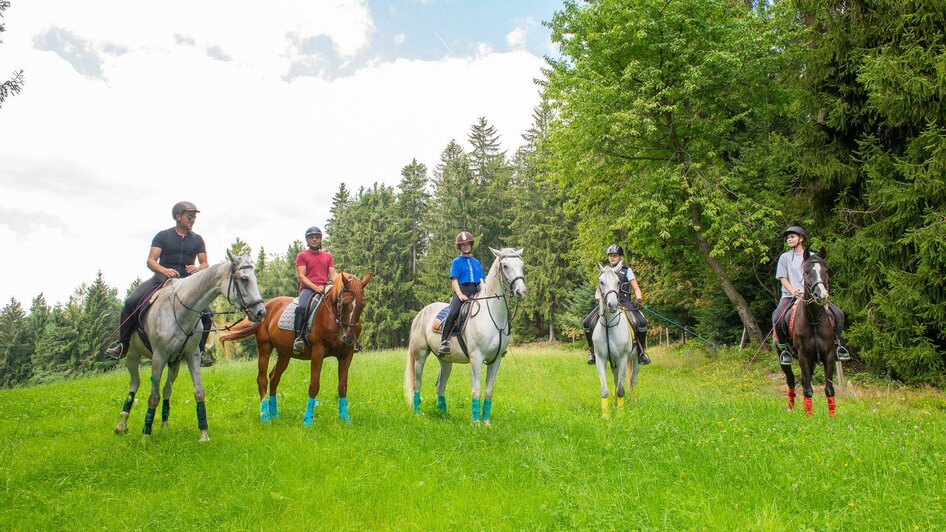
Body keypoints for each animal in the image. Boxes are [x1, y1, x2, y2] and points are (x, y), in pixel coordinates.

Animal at [113, 251, 266, 442]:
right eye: (244, 279)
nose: (261, 312)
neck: (180, 311)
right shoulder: (158, 358)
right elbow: (153, 397)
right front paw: (145, 436)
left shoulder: (192, 356)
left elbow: (198, 391)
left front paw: (203, 433)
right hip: (133, 356)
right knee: (135, 384)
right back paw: (122, 424)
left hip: (175, 363)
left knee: (167, 389)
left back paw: (164, 425)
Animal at [219, 272, 370, 426]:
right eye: (344, 303)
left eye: (363, 304)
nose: (348, 338)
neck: (334, 319)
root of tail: (265, 307)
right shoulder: (318, 352)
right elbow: (314, 385)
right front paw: (308, 420)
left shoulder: (346, 355)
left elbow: (343, 386)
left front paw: (345, 419)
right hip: (264, 348)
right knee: (262, 380)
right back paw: (265, 416)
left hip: (284, 354)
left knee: (274, 378)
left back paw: (274, 414)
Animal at [404, 247, 528, 426]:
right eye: (505, 266)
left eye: (522, 265)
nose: (521, 292)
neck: (491, 315)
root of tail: (421, 313)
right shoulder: (476, 358)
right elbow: (476, 391)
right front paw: (476, 423)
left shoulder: (495, 360)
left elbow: (489, 391)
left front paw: (486, 423)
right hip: (420, 356)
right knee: (417, 384)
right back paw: (417, 414)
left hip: (445, 361)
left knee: (440, 386)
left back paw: (443, 415)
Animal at [592, 264, 636, 418]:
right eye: (601, 282)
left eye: (618, 282)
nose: (612, 305)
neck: (609, 326)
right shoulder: (601, 359)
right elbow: (605, 389)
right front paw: (606, 415)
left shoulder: (623, 358)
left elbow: (621, 389)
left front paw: (621, 414)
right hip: (614, 363)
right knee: (617, 381)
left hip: (635, 360)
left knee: (632, 381)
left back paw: (634, 403)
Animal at [780, 251, 836, 418]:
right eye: (806, 272)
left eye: (826, 271)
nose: (821, 295)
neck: (813, 320)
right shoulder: (803, 356)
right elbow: (807, 389)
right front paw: (809, 417)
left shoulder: (829, 355)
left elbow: (829, 388)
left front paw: (832, 418)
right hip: (785, 359)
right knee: (791, 381)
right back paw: (790, 407)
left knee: (805, 380)